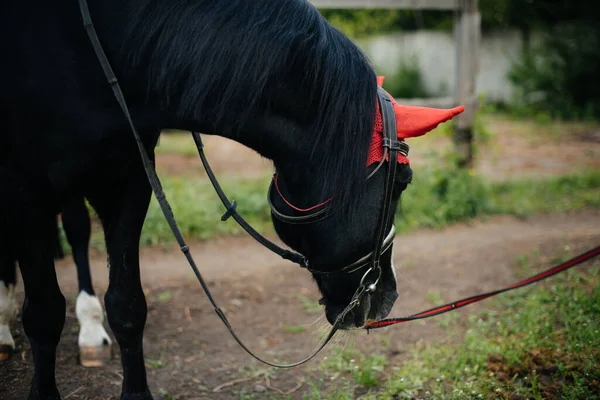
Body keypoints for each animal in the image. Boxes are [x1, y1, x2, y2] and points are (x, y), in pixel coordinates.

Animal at [0, 1, 462, 398]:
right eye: (403, 181)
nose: (388, 294)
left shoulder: (130, 180)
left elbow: (127, 304)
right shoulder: (25, 191)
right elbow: (44, 313)